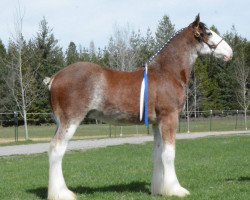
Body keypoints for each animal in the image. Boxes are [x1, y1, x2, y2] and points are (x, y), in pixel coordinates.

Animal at [44, 14, 232, 199]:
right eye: (208, 33)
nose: (230, 52)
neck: (166, 73)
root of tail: (54, 78)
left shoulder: (157, 123)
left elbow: (158, 154)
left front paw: (159, 189)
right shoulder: (169, 118)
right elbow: (169, 154)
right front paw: (175, 189)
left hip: (60, 122)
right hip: (71, 121)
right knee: (57, 149)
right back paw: (62, 193)